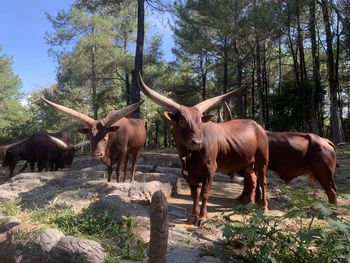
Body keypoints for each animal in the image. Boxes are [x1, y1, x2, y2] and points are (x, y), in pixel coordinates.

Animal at [138, 73, 270, 226]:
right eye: (182, 121)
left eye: (200, 122)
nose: (197, 143)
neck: (190, 156)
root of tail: (258, 126)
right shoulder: (188, 173)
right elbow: (194, 195)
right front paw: (193, 216)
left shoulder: (210, 169)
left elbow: (204, 193)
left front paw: (202, 217)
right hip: (246, 163)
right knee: (252, 180)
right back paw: (249, 204)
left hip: (262, 161)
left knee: (262, 181)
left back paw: (264, 207)